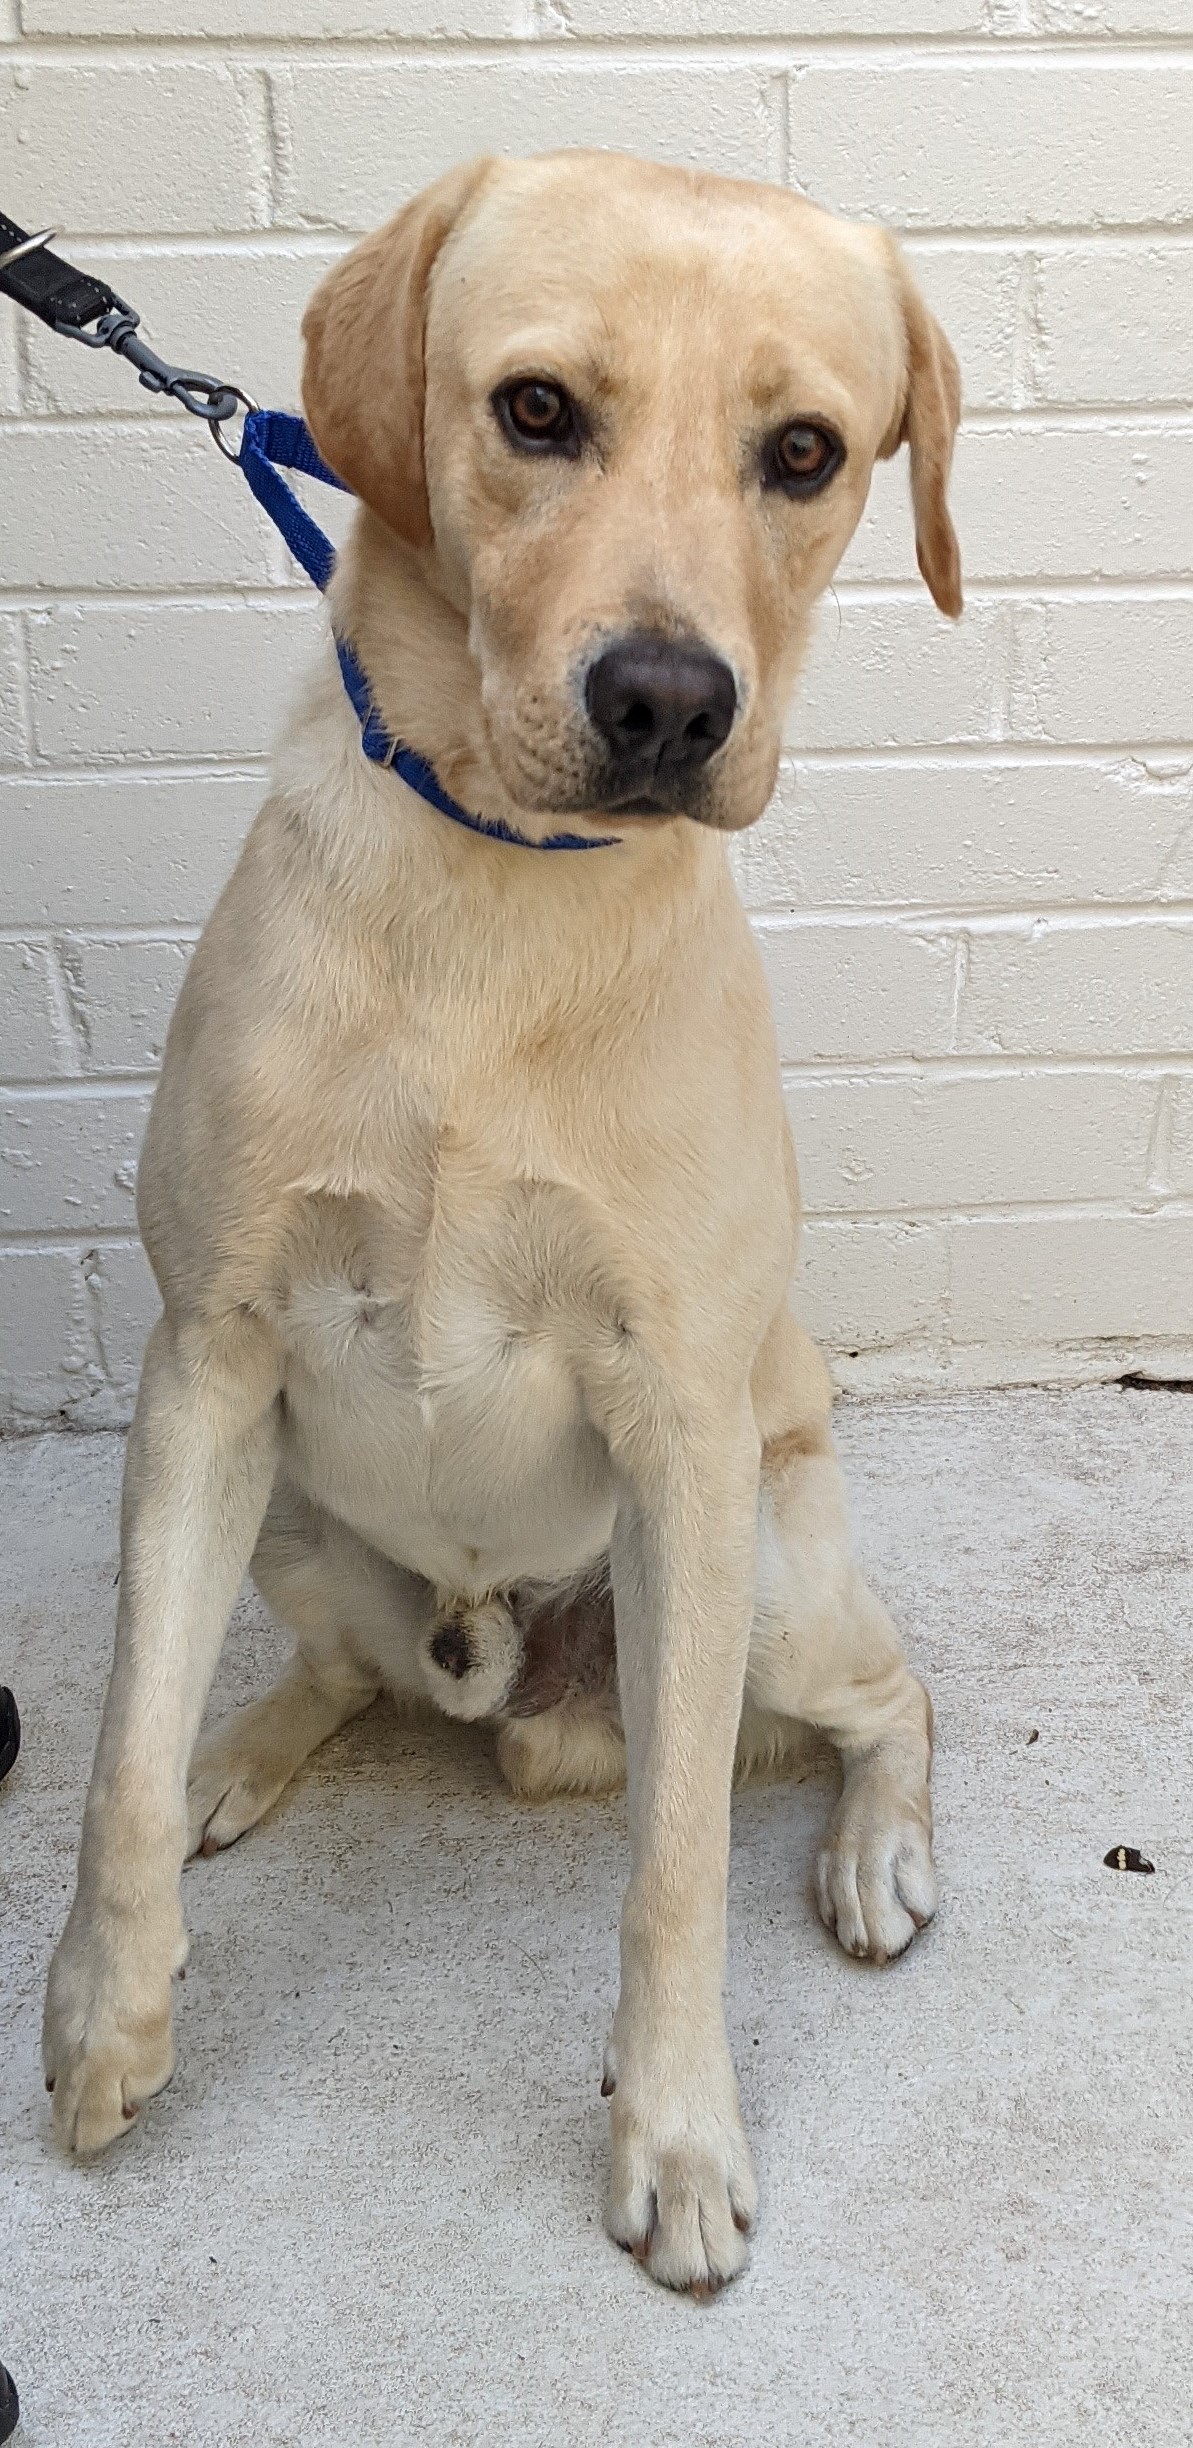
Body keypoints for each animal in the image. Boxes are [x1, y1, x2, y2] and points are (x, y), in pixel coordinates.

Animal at [43, 149, 961, 2297]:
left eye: (806, 453)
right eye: (534, 409)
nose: (666, 701)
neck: (496, 894)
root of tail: (505, 1671)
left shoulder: (680, 1429)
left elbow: (675, 1866)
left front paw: (678, 2135)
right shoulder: (202, 1369)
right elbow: (114, 1759)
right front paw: (107, 2016)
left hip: (758, 1578)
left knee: (886, 1698)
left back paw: (873, 1844)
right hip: (288, 1511)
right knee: (328, 1673)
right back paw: (246, 1752)